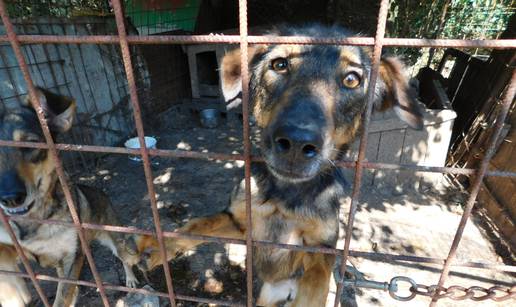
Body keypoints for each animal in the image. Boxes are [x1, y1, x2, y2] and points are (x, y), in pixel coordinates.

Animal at [137, 24, 424, 307]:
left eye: (352, 79)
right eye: (280, 64)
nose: (297, 143)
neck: (285, 195)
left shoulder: (320, 250)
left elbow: (315, 286)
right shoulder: (240, 223)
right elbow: (199, 224)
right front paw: (156, 246)